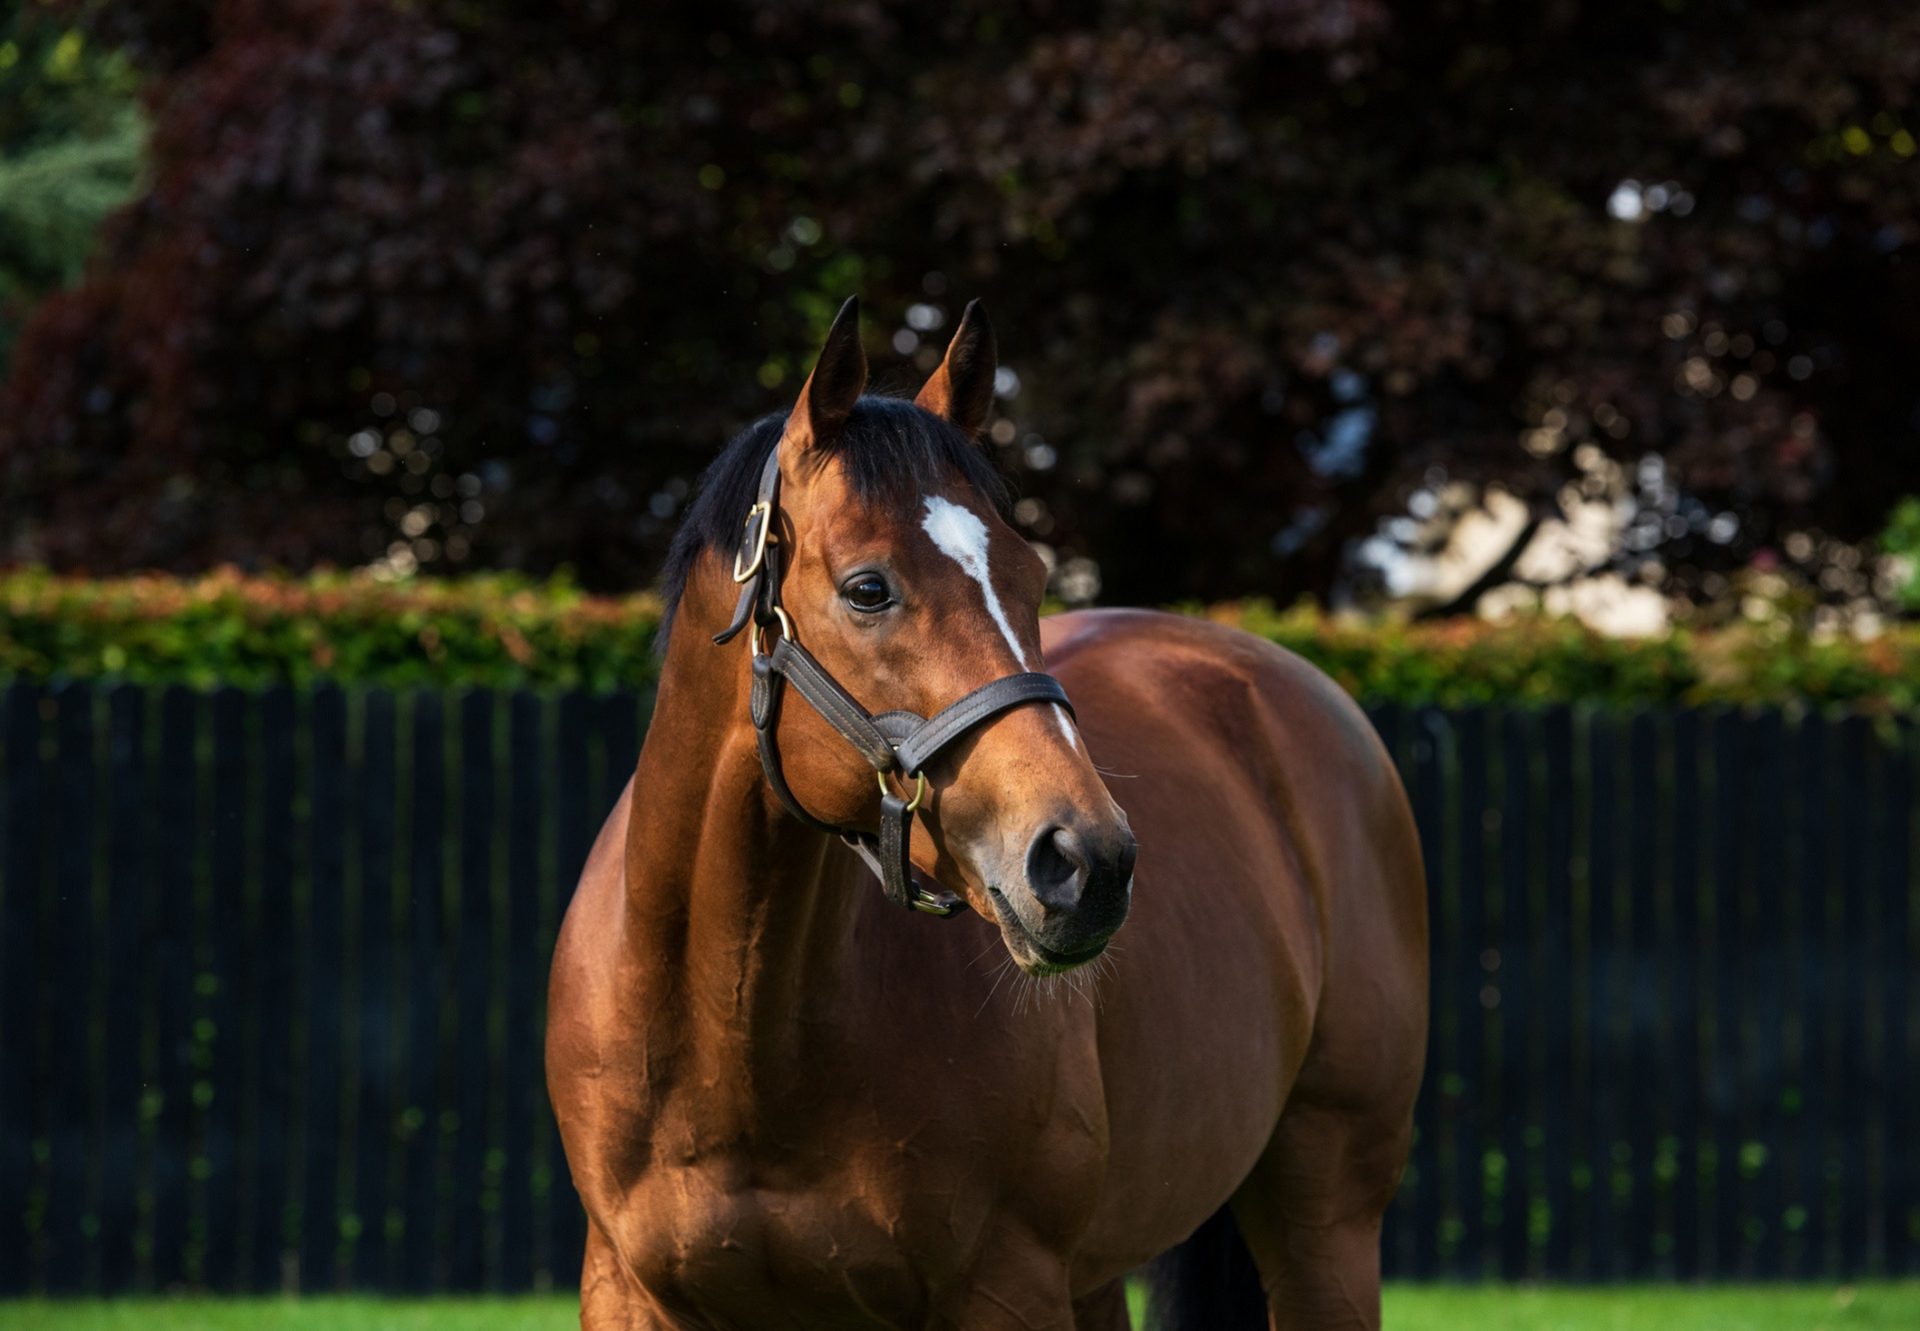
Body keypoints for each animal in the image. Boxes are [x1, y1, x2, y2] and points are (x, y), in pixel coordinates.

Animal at [545, 301, 1428, 1329]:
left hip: (1324, 1226)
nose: (1088, 863)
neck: (733, 1038)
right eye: (868, 587)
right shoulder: (627, 1291)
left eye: (1032, 576)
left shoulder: (1006, 1286)